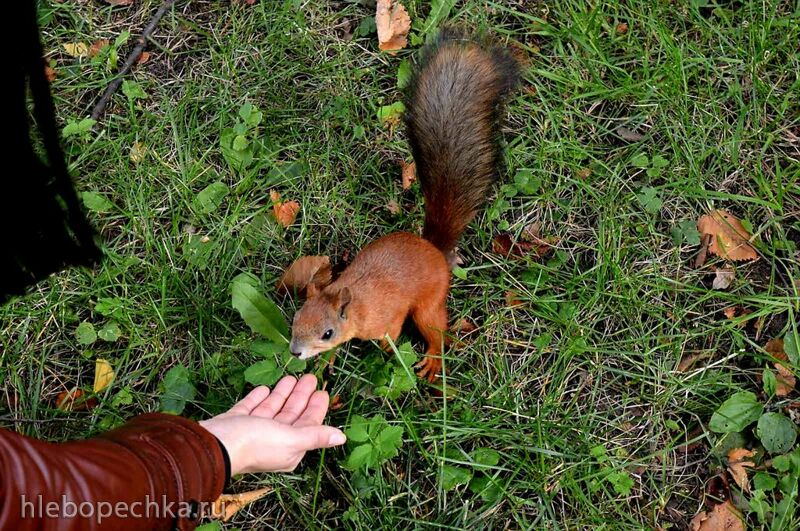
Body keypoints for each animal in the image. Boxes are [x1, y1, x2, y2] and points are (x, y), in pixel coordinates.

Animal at [290, 30, 520, 382]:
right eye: (296, 318)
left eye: (327, 332)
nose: (295, 352)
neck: (357, 304)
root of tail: (434, 249)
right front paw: (327, 361)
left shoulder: (388, 315)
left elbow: (392, 332)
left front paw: (387, 352)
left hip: (430, 300)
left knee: (435, 328)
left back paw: (434, 359)